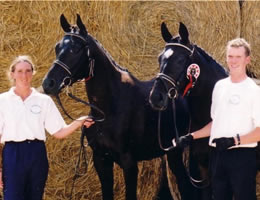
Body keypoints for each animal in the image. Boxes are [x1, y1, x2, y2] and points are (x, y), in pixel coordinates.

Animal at [41, 14, 199, 200]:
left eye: (76, 49)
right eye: (57, 47)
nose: (48, 83)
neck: (107, 109)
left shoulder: (129, 164)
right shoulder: (101, 160)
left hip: (177, 153)